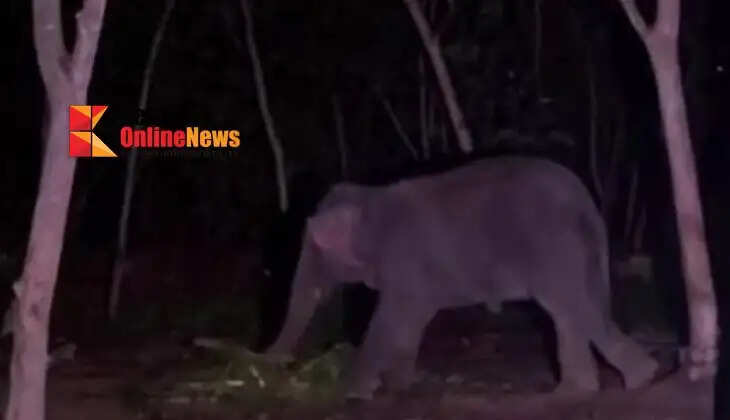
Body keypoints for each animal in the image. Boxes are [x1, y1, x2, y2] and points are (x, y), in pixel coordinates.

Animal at [266, 156, 659, 400]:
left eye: (314, 243)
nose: (272, 365)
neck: (370, 197)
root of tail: (586, 201)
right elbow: (411, 320)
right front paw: (401, 385)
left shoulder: (404, 260)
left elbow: (391, 316)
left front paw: (354, 393)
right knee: (572, 309)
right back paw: (584, 389)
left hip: (552, 244)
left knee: (569, 304)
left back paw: (635, 379)